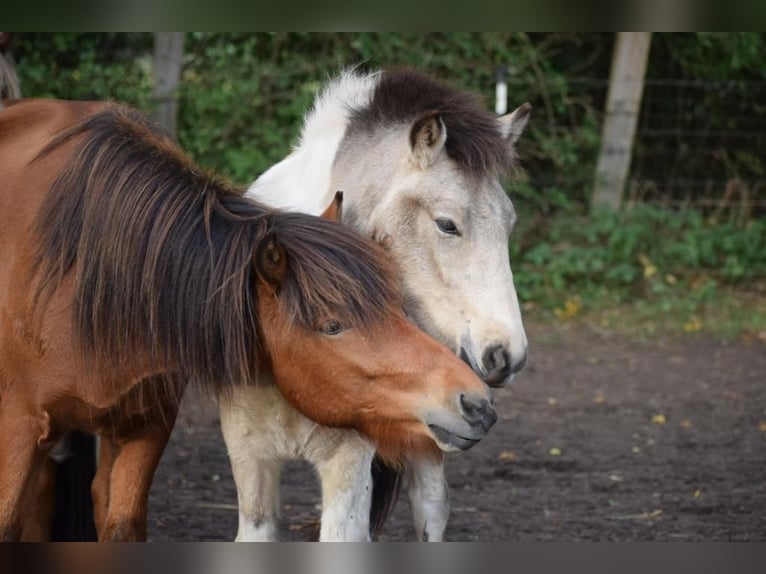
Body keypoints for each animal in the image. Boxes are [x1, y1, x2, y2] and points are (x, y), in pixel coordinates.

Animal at [0, 97, 498, 544]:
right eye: (332, 325)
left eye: (397, 305)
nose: (476, 402)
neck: (89, 280)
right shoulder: (19, 430)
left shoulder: (146, 430)